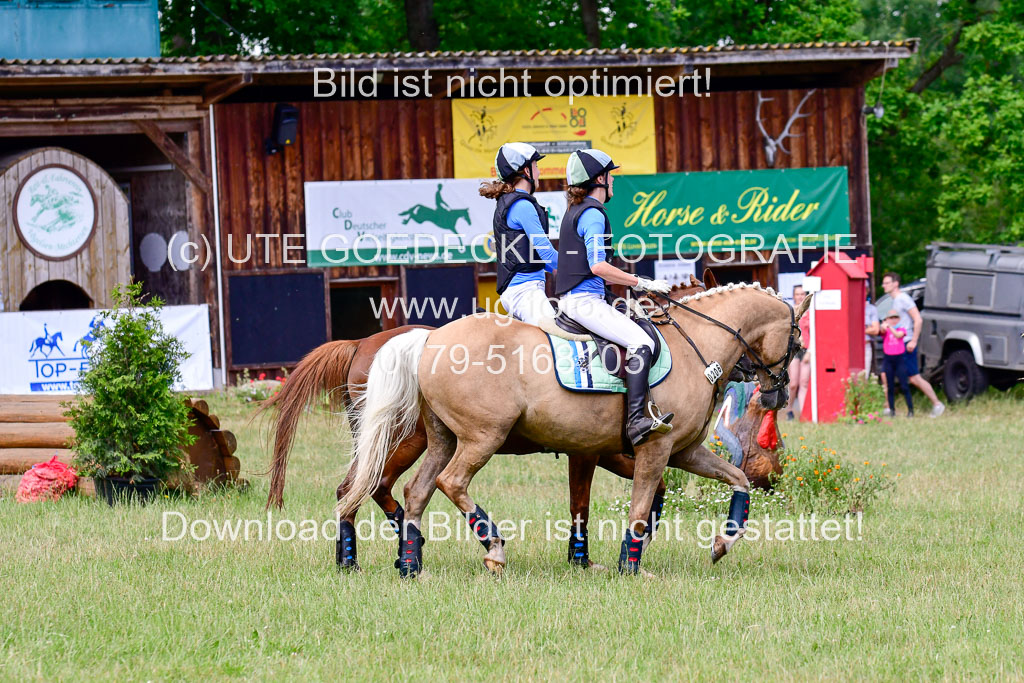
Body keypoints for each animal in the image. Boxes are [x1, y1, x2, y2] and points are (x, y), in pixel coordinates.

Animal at [342, 282, 806, 577]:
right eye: (797, 344)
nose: (778, 396)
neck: (696, 347)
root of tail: (430, 338)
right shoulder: (654, 449)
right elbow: (641, 507)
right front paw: (630, 566)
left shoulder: (681, 451)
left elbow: (739, 478)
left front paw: (722, 543)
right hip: (480, 437)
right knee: (446, 482)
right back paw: (492, 550)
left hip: (442, 438)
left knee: (415, 490)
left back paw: (410, 564)